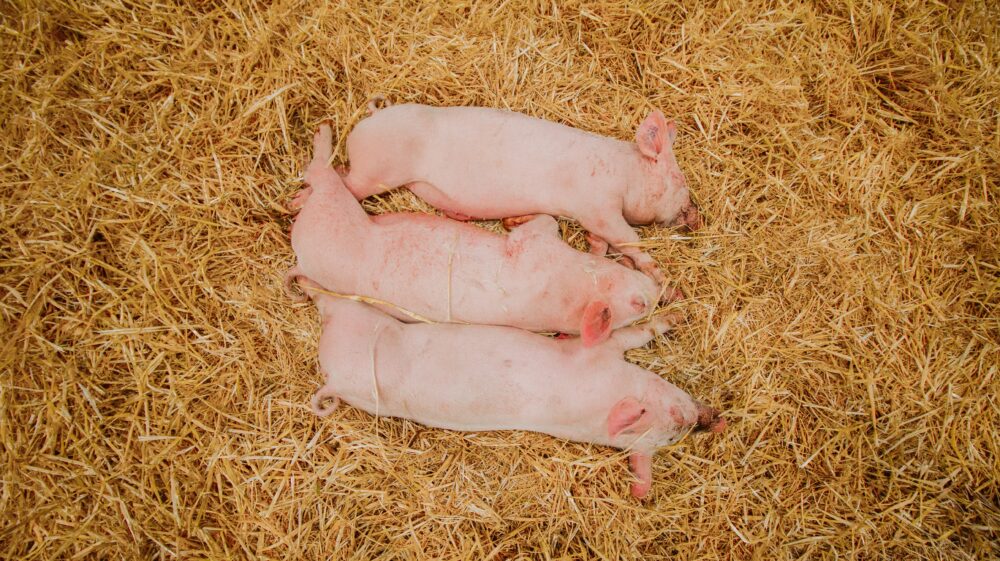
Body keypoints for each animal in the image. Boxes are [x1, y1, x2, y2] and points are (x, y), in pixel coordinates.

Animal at [287, 123, 675, 346]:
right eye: (638, 304)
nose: (658, 291)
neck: (567, 287)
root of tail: (300, 253)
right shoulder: (539, 244)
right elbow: (545, 222)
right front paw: (513, 220)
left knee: (325, 176)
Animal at [292, 276, 725, 498]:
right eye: (673, 414)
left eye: (670, 440)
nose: (707, 418)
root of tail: (330, 378)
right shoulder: (595, 353)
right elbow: (636, 334)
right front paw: (676, 318)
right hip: (359, 319)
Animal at [340, 102, 702, 284]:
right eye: (678, 179)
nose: (696, 216)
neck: (624, 173)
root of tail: (370, 118)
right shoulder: (597, 208)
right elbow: (629, 239)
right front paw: (664, 283)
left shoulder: (596, 219)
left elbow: (601, 247)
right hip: (376, 170)